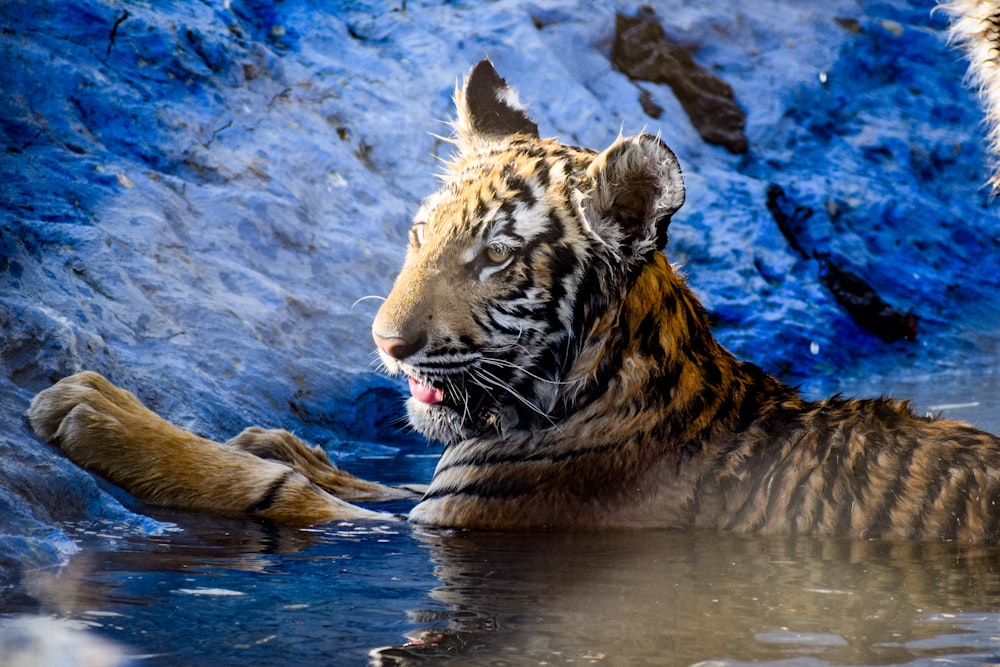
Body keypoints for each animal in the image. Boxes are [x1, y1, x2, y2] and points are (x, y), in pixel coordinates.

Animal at [27, 58, 1000, 544]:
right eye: (418, 235)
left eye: (495, 257)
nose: (386, 343)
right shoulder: (435, 490)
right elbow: (367, 476)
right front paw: (277, 438)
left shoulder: (460, 522)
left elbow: (278, 496)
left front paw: (92, 407)